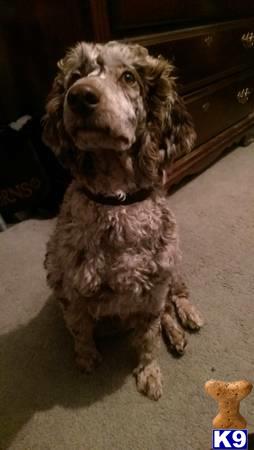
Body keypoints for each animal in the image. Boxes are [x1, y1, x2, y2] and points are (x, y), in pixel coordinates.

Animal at [42, 42, 203, 400]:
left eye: (129, 77)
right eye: (75, 76)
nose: (80, 96)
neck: (117, 203)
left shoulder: (154, 288)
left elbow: (149, 338)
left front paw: (149, 372)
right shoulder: (69, 289)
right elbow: (80, 330)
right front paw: (86, 358)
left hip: (174, 269)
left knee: (177, 297)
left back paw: (187, 317)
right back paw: (177, 333)